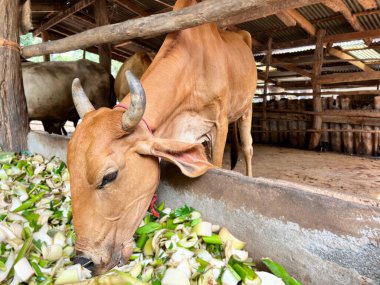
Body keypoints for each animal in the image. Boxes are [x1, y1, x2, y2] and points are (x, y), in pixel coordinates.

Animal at [68, 0, 258, 274]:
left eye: (109, 176)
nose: (84, 261)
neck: (194, 68)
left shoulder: (219, 124)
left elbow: (217, 164)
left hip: (246, 108)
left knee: (247, 147)